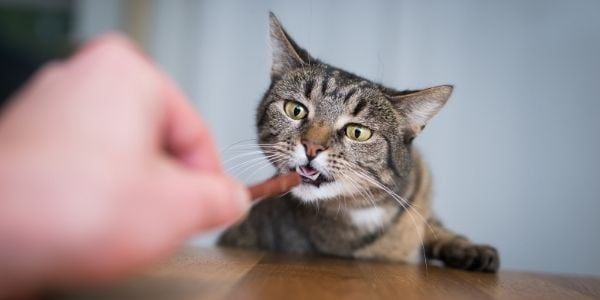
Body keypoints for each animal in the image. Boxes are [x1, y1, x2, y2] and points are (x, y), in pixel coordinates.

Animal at [218, 13, 500, 272]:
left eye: (357, 132)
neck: (363, 211)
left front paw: (470, 249)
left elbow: (435, 228)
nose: (311, 147)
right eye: (295, 110)